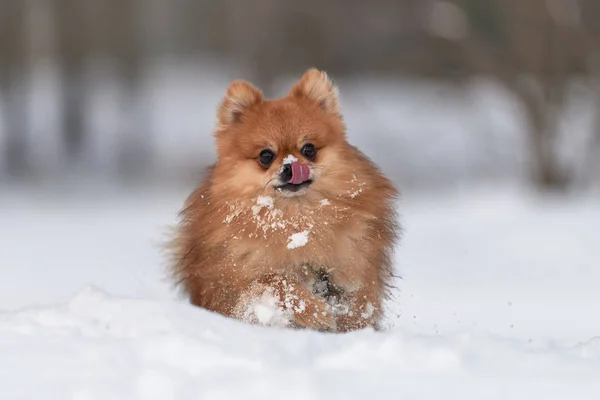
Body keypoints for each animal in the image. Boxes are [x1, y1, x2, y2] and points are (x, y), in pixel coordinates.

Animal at [169, 68, 400, 332]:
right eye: (266, 155)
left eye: (309, 149)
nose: (292, 166)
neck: (296, 220)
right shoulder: (240, 280)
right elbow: (277, 282)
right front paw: (315, 311)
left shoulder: (354, 264)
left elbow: (357, 297)